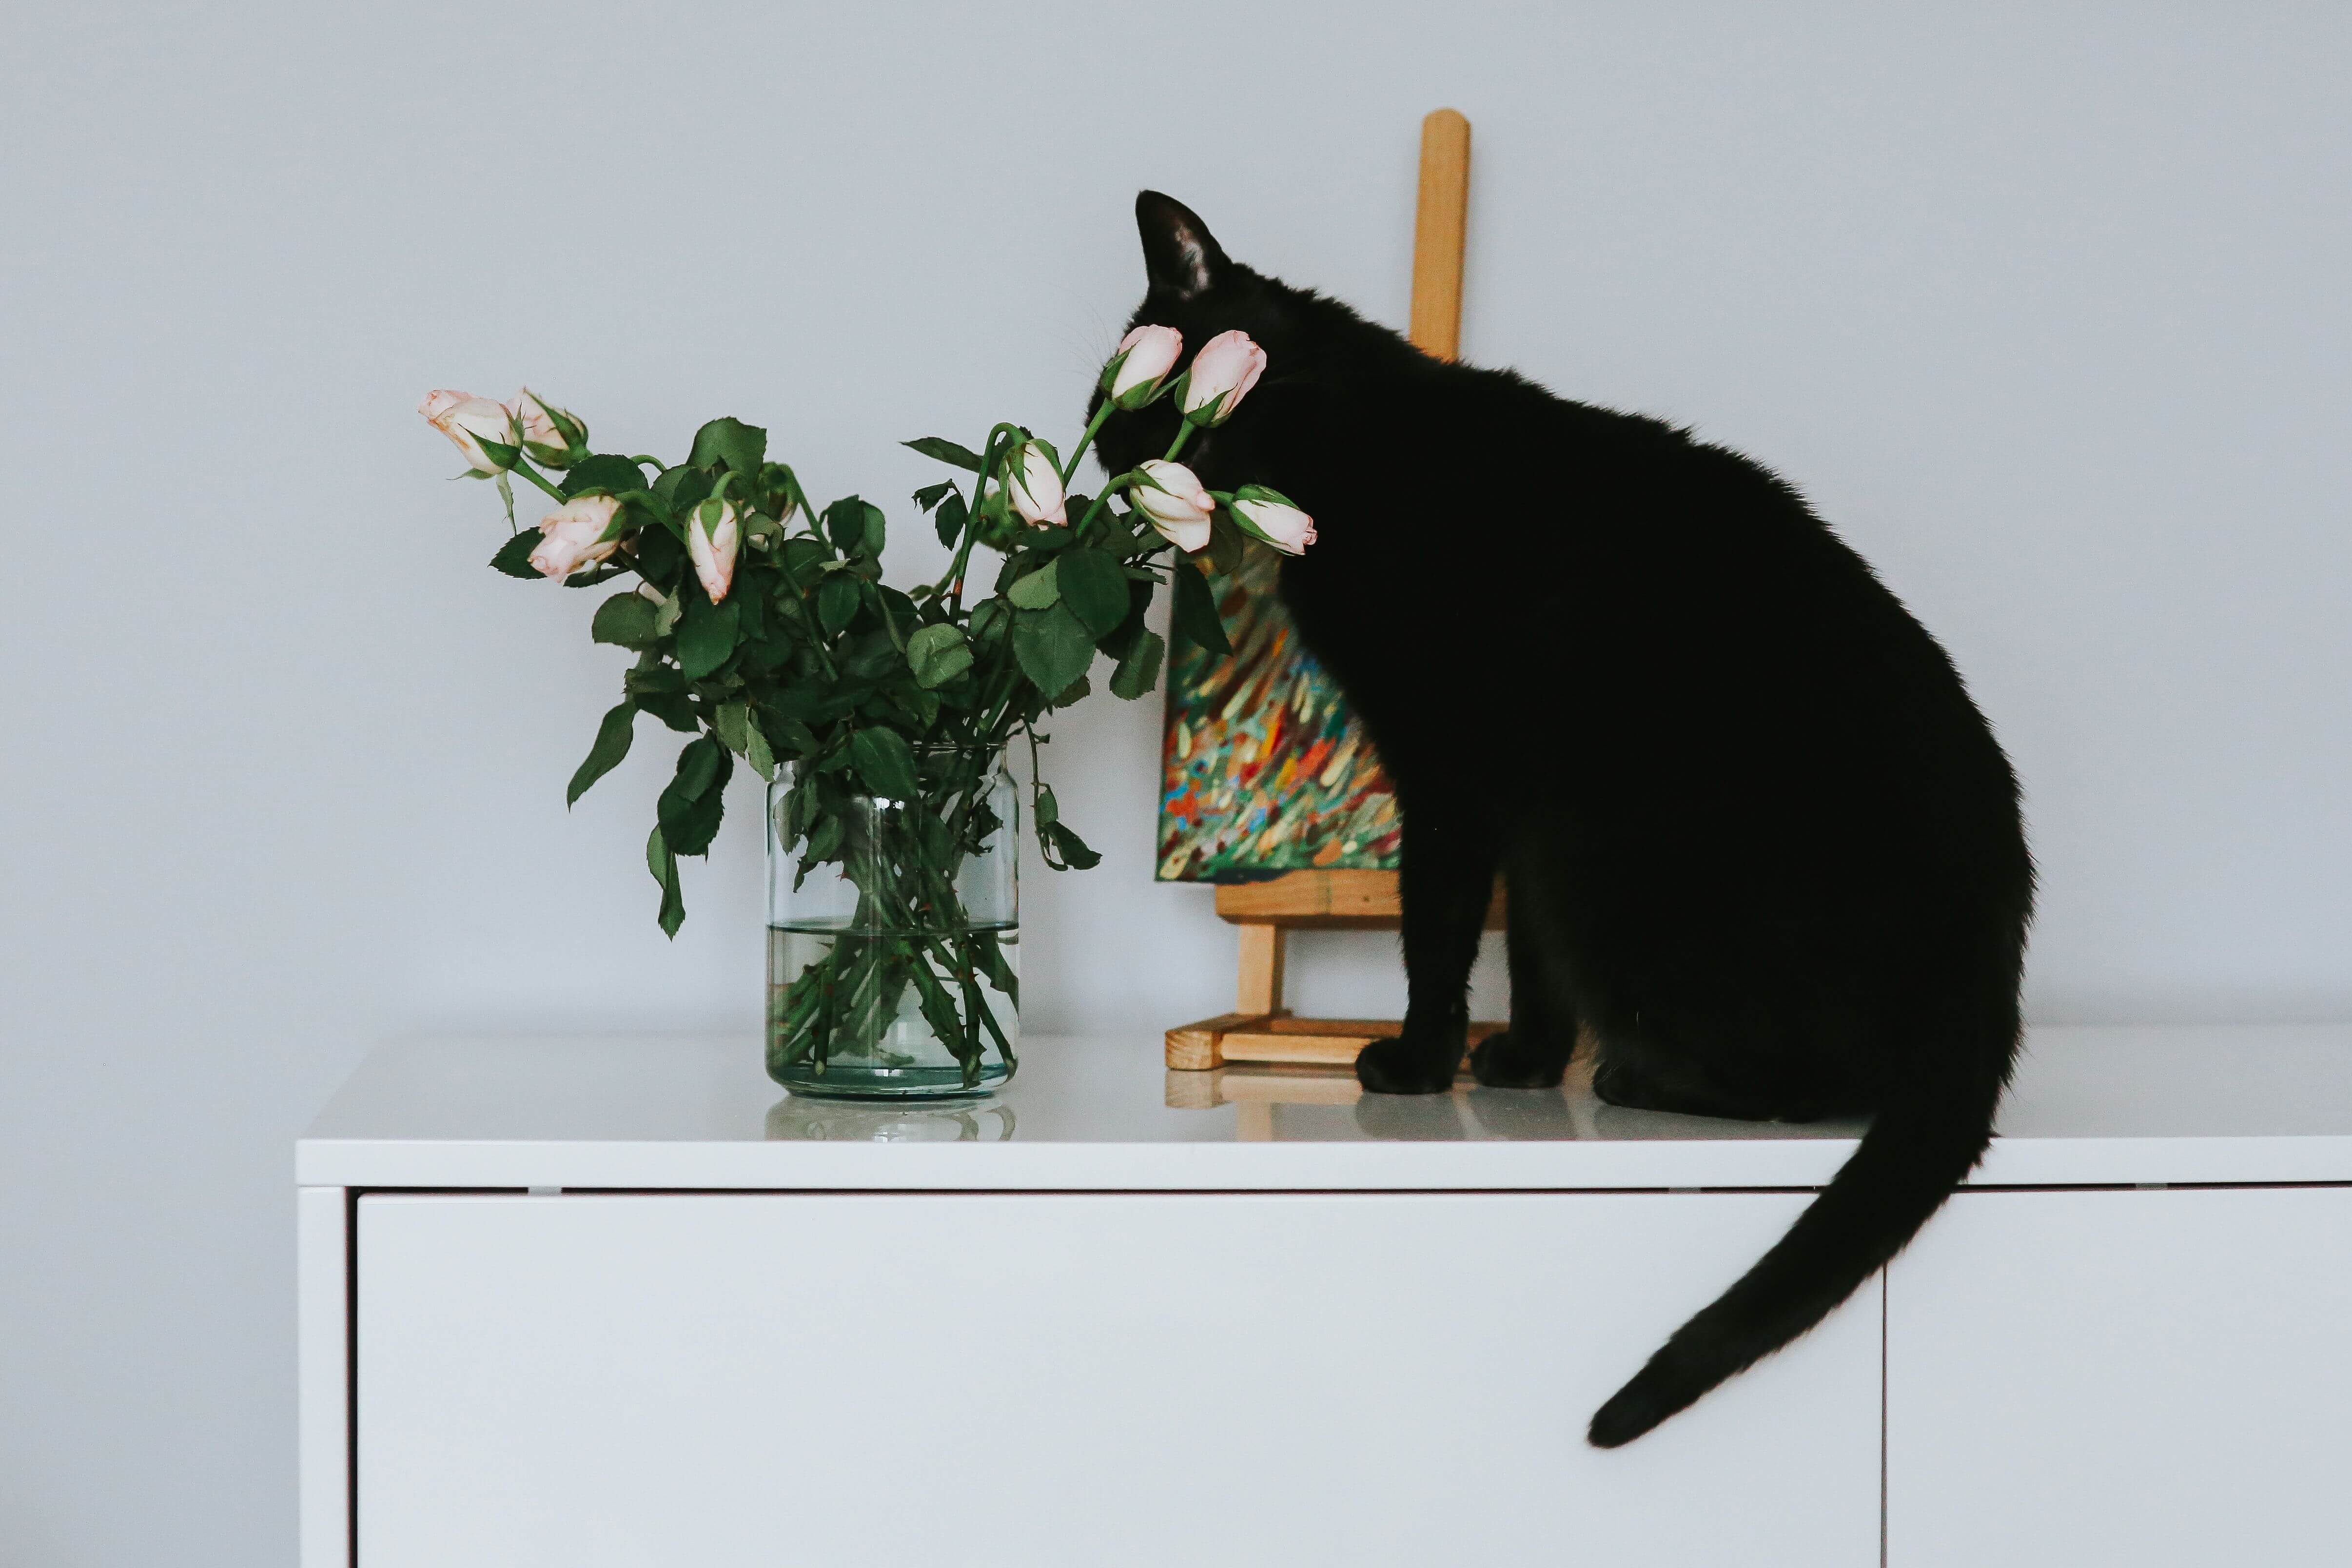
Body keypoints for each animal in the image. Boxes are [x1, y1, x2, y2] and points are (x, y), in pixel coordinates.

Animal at [1090, 192, 2035, 1447]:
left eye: (1148, 402)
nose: (1107, 462)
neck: (1347, 434)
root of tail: (1993, 960)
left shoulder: (1450, 775)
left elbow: (1437, 934)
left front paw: (1418, 1063)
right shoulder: (1519, 808)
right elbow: (1523, 954)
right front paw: (1523, 1065)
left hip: (1614, 861)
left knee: (1814, 1083)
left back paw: (1638, 1080)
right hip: (1578, 846)